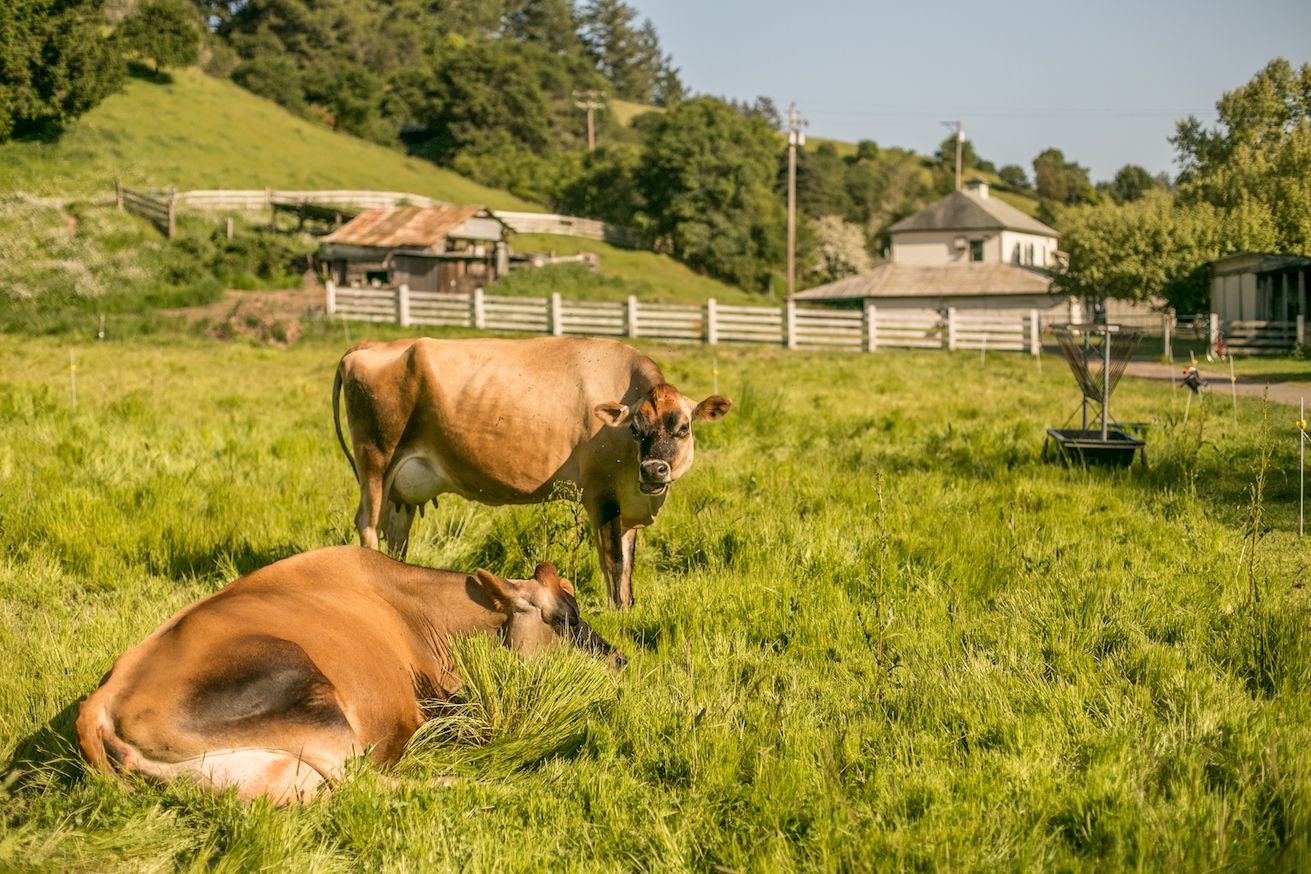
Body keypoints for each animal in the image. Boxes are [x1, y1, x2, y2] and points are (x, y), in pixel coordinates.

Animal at [76, 547, 618, 807]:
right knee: (366, 785)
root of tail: (100, 700)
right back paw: (508, 786)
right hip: (306, 692)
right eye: (564, 619)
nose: (620, 662)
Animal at [332, 335, 734, 608]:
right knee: (368, 524)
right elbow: (612, 561)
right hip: (375, 460)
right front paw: (616, 612)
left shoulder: (629, 499)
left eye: (683, 427)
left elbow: (627, 563)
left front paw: (628, 608)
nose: (654, 469)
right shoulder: (601, 495)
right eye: (636, 429)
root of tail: (369, 345)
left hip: (401, 486)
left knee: (396, 534)